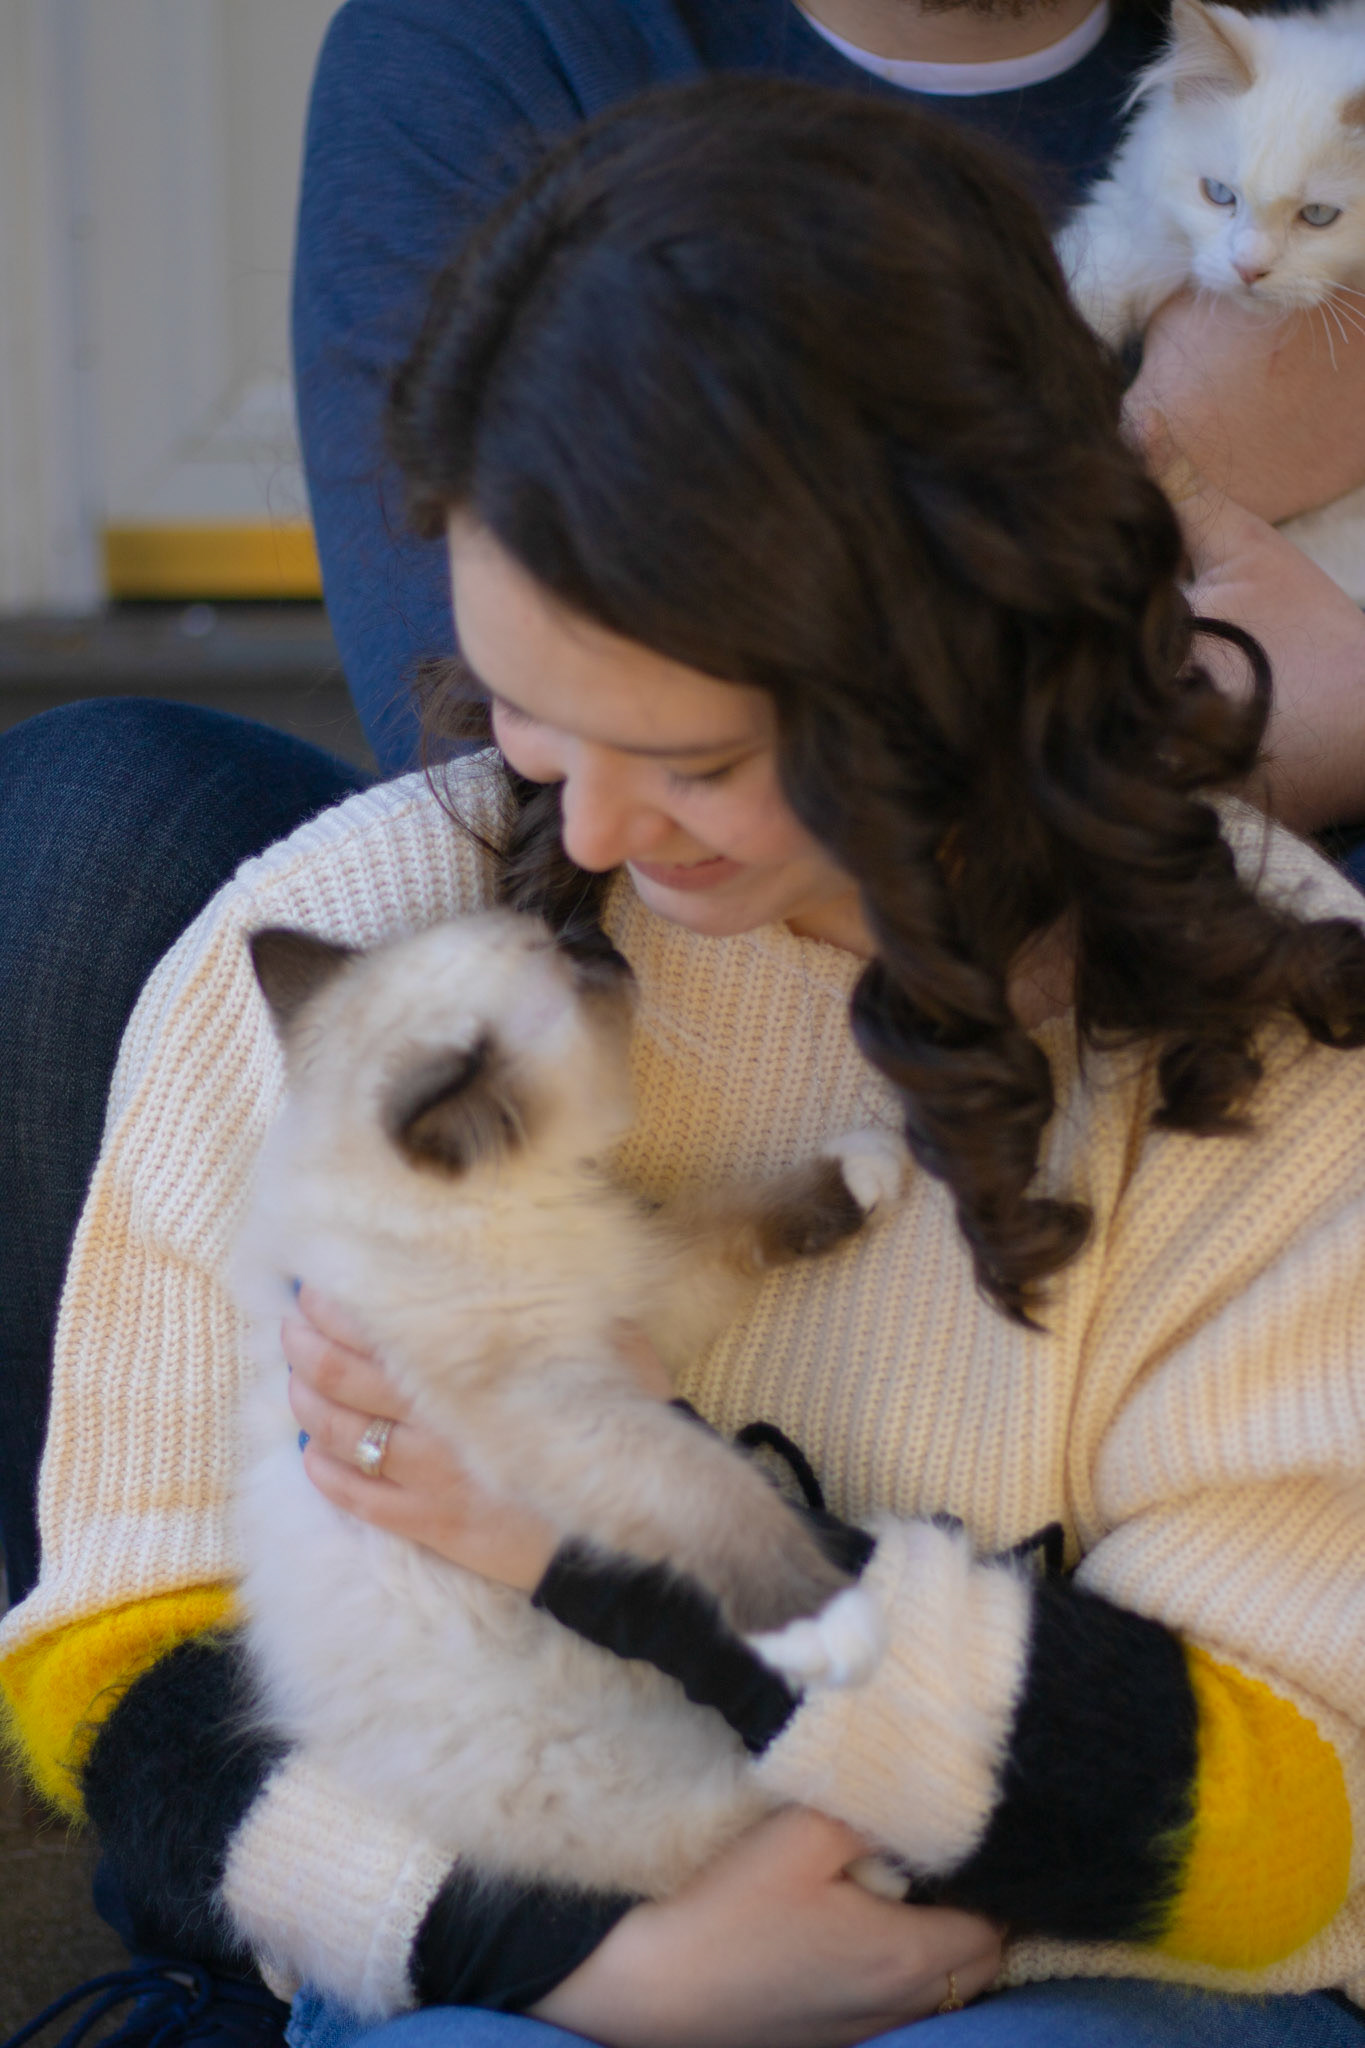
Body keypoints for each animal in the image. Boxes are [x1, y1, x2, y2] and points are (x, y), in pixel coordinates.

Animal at [229, 911, 903, 1952]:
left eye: (560, 942)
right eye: (570, 971)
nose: (596, 937)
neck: (514, 1207)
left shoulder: (640, 1302)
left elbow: (732, 1215)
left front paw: (866, 1169)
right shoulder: (557, 1410)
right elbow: (710, 1483)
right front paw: (817, 1617)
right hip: (651, 1793)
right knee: (750, 1817)